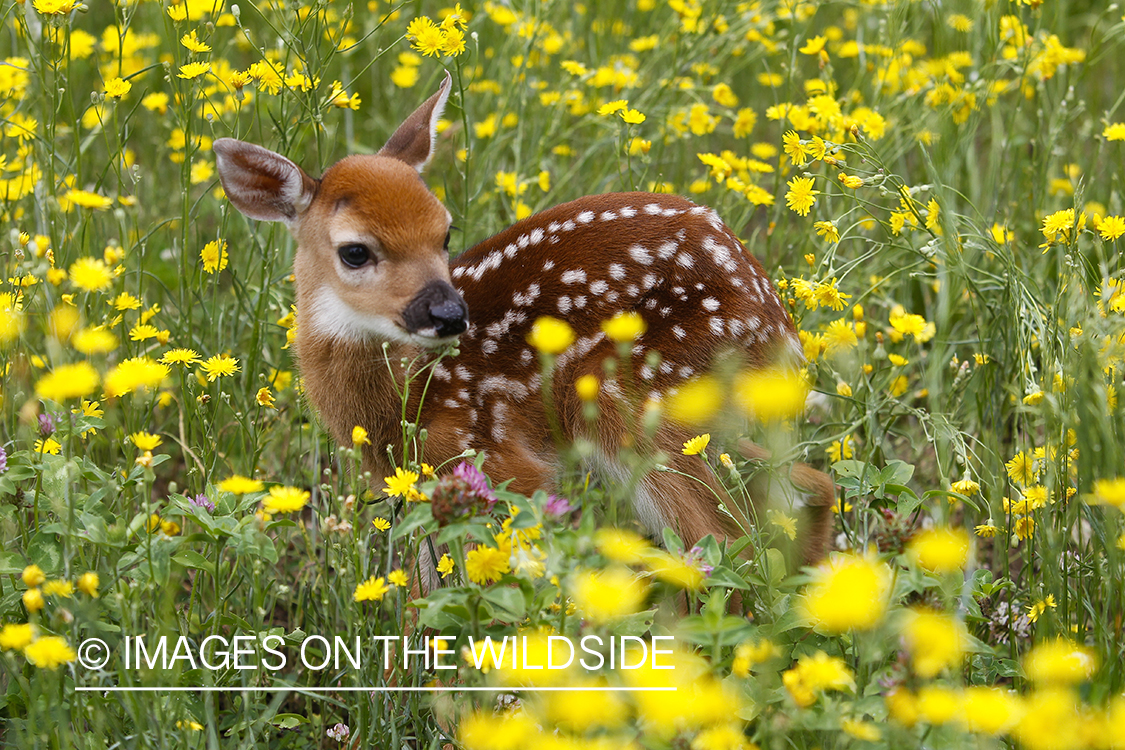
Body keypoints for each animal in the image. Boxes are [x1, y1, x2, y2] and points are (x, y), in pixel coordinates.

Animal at [212, 72, 836, 577]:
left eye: (444, 231)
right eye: (355, 252)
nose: (450, 313)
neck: (403, 400)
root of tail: (778, 322)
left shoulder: (500, 458)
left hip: (638, 403)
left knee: (723, 546)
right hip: (712, 421)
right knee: (806, 490)